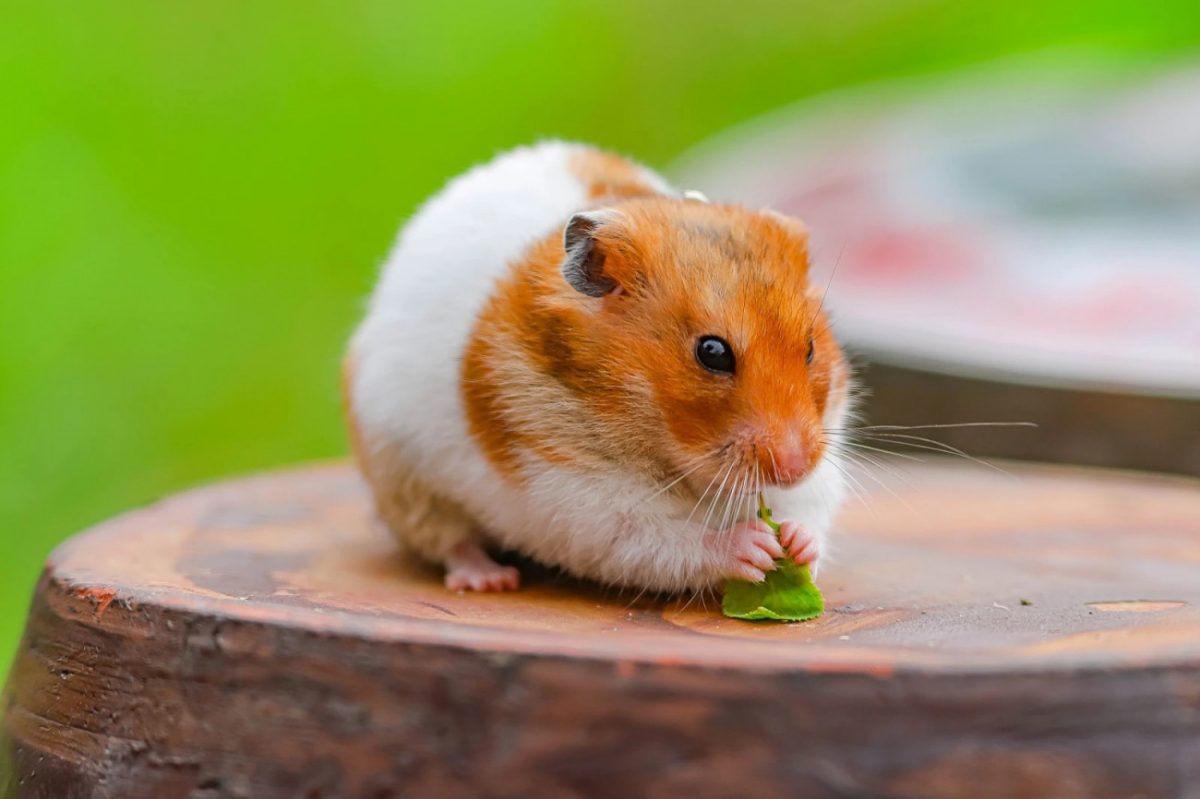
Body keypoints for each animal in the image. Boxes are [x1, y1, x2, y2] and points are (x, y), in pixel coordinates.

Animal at [345, 141, 854, 590]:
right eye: (712, 353)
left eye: (811, 348)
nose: (794, 466)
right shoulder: (574, 493)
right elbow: (661, 539)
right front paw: (754, 548)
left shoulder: (821, 452)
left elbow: (806, 508)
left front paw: (795, 545)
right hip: (405, 480)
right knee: (449, 543)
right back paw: (489, 579)